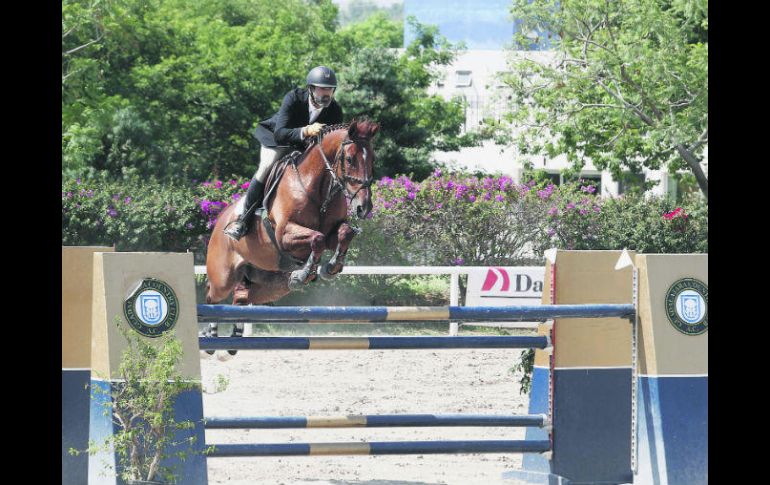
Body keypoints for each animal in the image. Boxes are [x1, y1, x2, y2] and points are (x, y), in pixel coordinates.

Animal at [204, 118, 378, 304]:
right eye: (350, 159)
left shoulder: (332, 232)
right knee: (211, 295)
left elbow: (345, 233)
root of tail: (220, 221)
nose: (364, 207)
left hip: (270, 283)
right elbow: (318, 238)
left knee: (243, 296)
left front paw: (330, 268)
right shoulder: (284, 234)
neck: (319, 192)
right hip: (222, 279)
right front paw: (304, 274)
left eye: (373, 160)